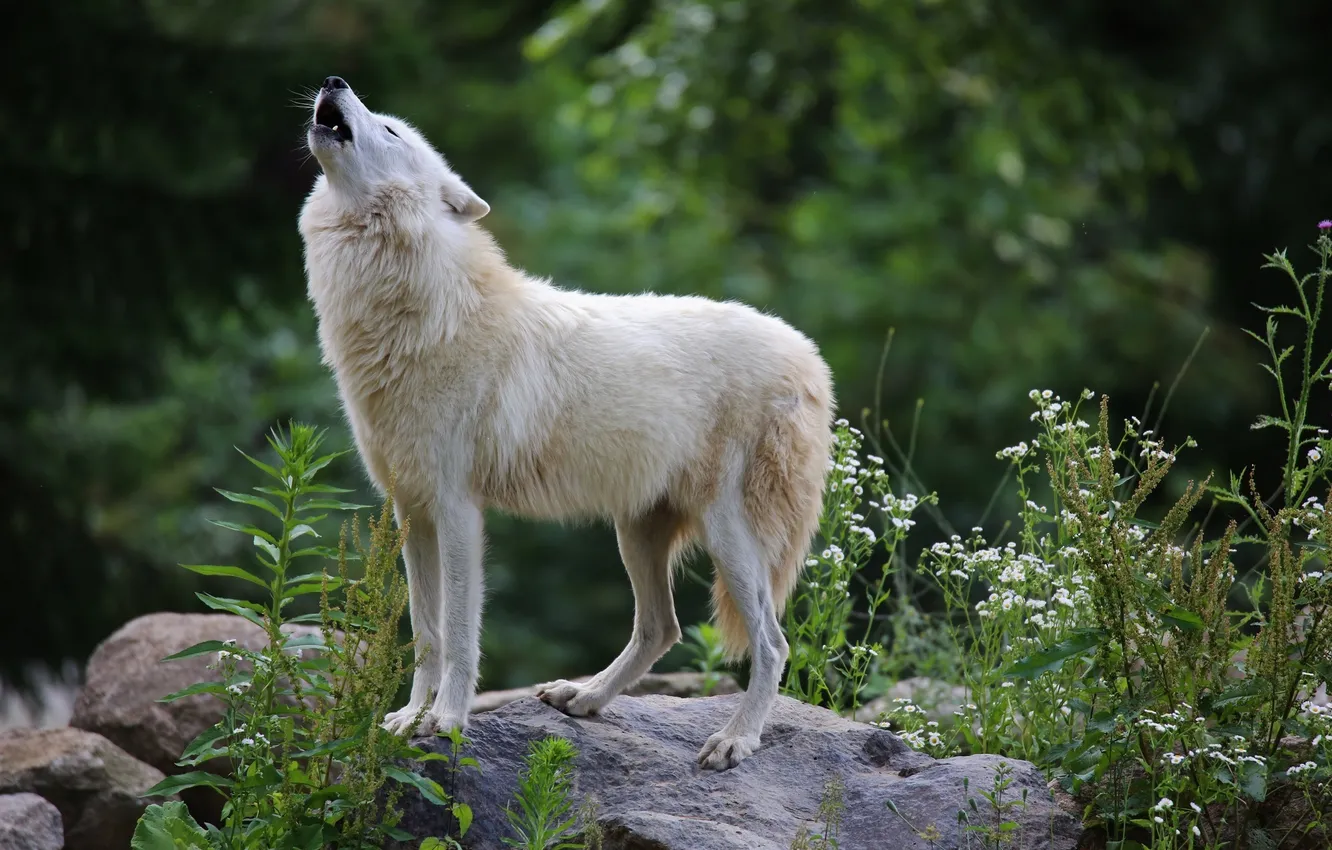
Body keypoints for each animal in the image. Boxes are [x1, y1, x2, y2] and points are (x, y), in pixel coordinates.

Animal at [298, 76, 834, 770]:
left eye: (390, 129)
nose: (334, 82)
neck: (422, 311)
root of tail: (809, 357)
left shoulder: (458, 510)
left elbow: (461, 635)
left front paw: (446, 721)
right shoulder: (411, 512)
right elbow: (425, 635)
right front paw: (408, 719)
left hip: (729, 536)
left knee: (771, 642)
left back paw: (735, 740)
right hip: (636, 532)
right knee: (661, 626)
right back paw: (584, 698)